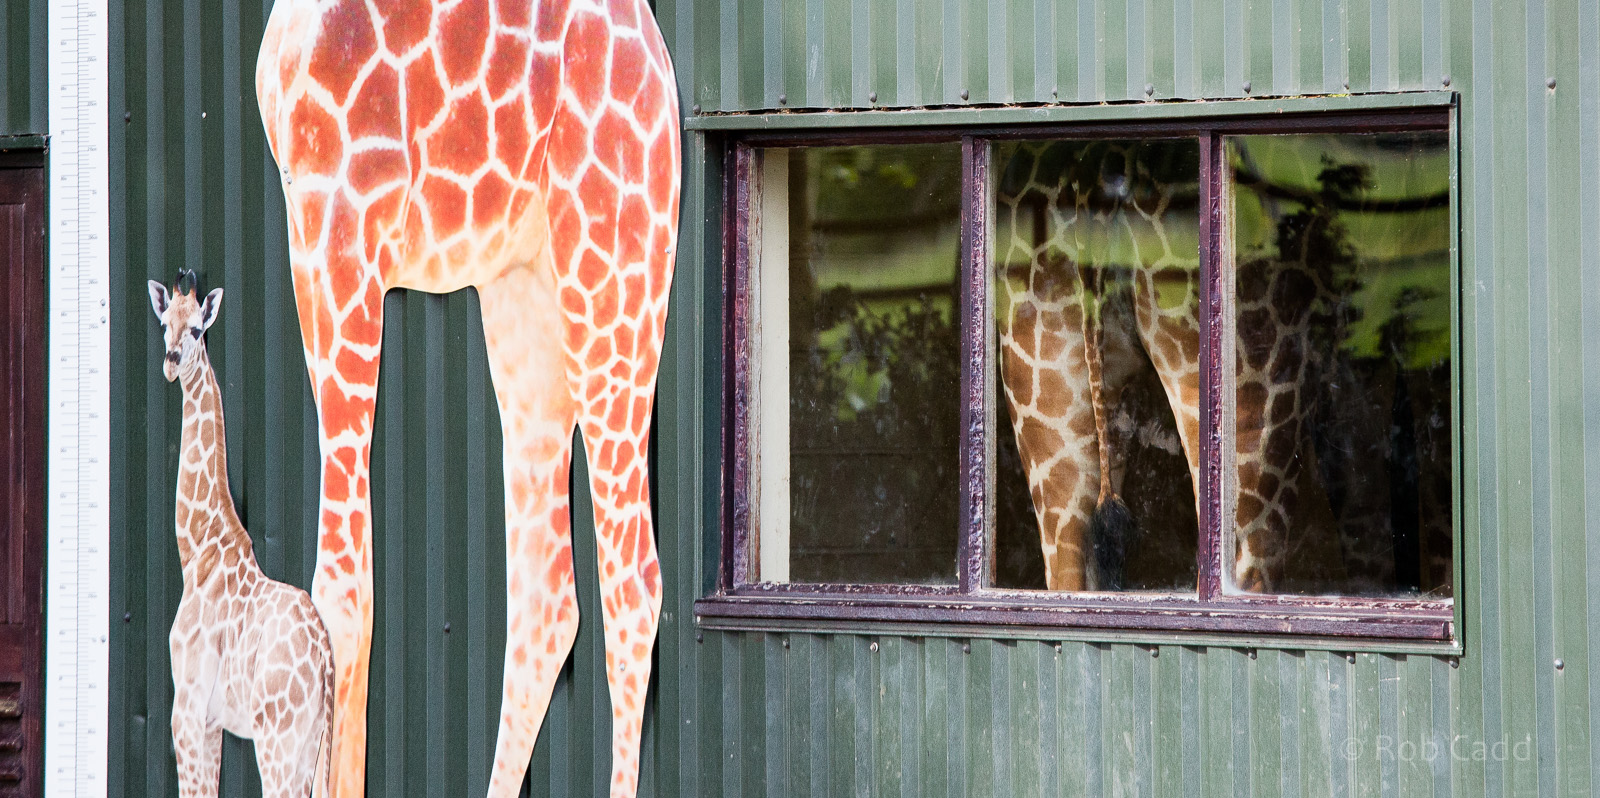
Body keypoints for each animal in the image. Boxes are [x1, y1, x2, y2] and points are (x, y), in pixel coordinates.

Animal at [148, 276, 334, 798]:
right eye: (163, 322)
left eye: (196, 328)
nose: (171, 362)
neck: (199, 548)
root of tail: (325, 659)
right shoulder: (211, 722)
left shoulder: (186, 708)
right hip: (309, 743)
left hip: (277, 735)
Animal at [254, 0, 679, 795]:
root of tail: (660, 63)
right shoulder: (307, 224)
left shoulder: (347, 211)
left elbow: (343, 592)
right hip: (524, 293)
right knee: (549, 597)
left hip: (617, 258)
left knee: (633, 585)